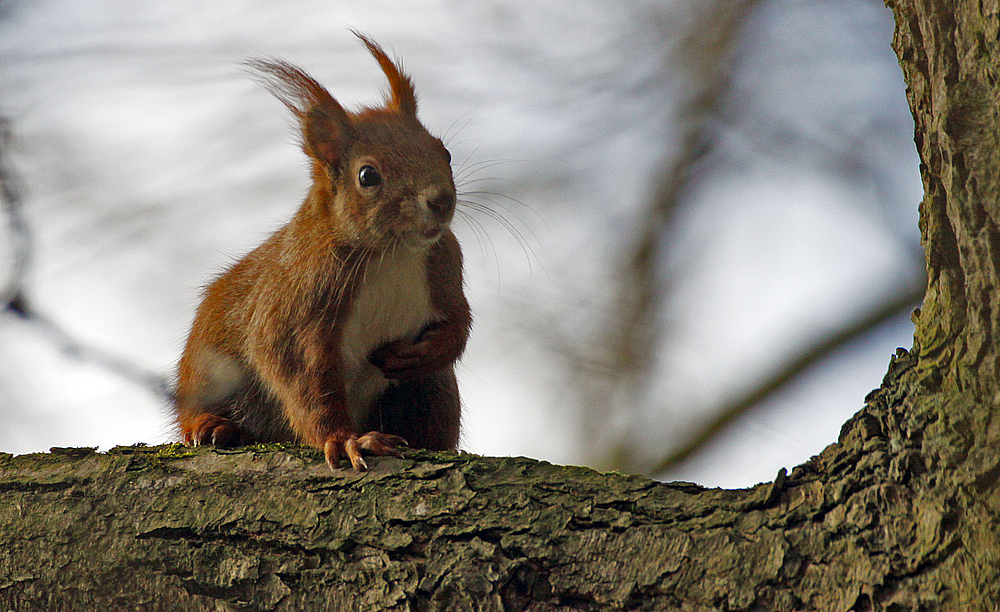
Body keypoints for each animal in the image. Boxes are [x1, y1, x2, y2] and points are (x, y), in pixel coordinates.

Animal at [174, 33, 470, 470]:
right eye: (367, 175)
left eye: (444, 151)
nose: (441, 201)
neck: (392, 252)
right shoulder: (300, 301)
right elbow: (300, 375)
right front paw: (346, 440)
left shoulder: (445, 265)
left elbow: (458, 321)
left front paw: (428, 351)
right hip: (210, 372)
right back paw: (210, 426)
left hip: (431, 392)